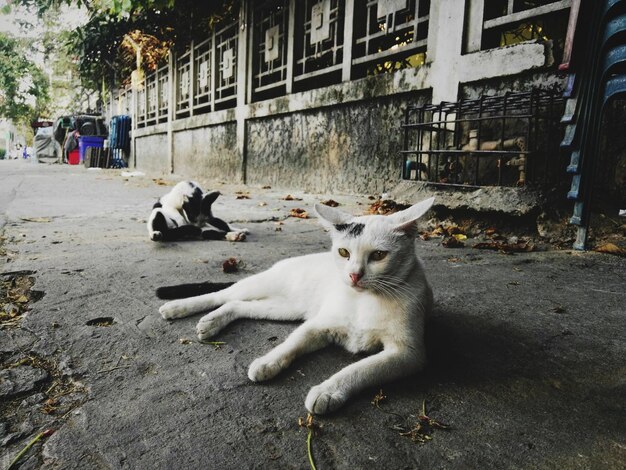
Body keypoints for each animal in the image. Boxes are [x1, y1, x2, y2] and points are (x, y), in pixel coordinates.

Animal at [158, 196, 432, 414]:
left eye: (378, 255)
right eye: (344, 253)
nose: (354, 275)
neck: (363, 300)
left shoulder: (407, 354)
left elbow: (360, 369)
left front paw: (327, 391)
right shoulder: (317, 326)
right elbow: (291, 344)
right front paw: (267, 363)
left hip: (286, 309)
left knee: (238, 305)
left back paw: (211, 322)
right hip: (264, 285)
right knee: (223, 294)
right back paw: (177, 308)